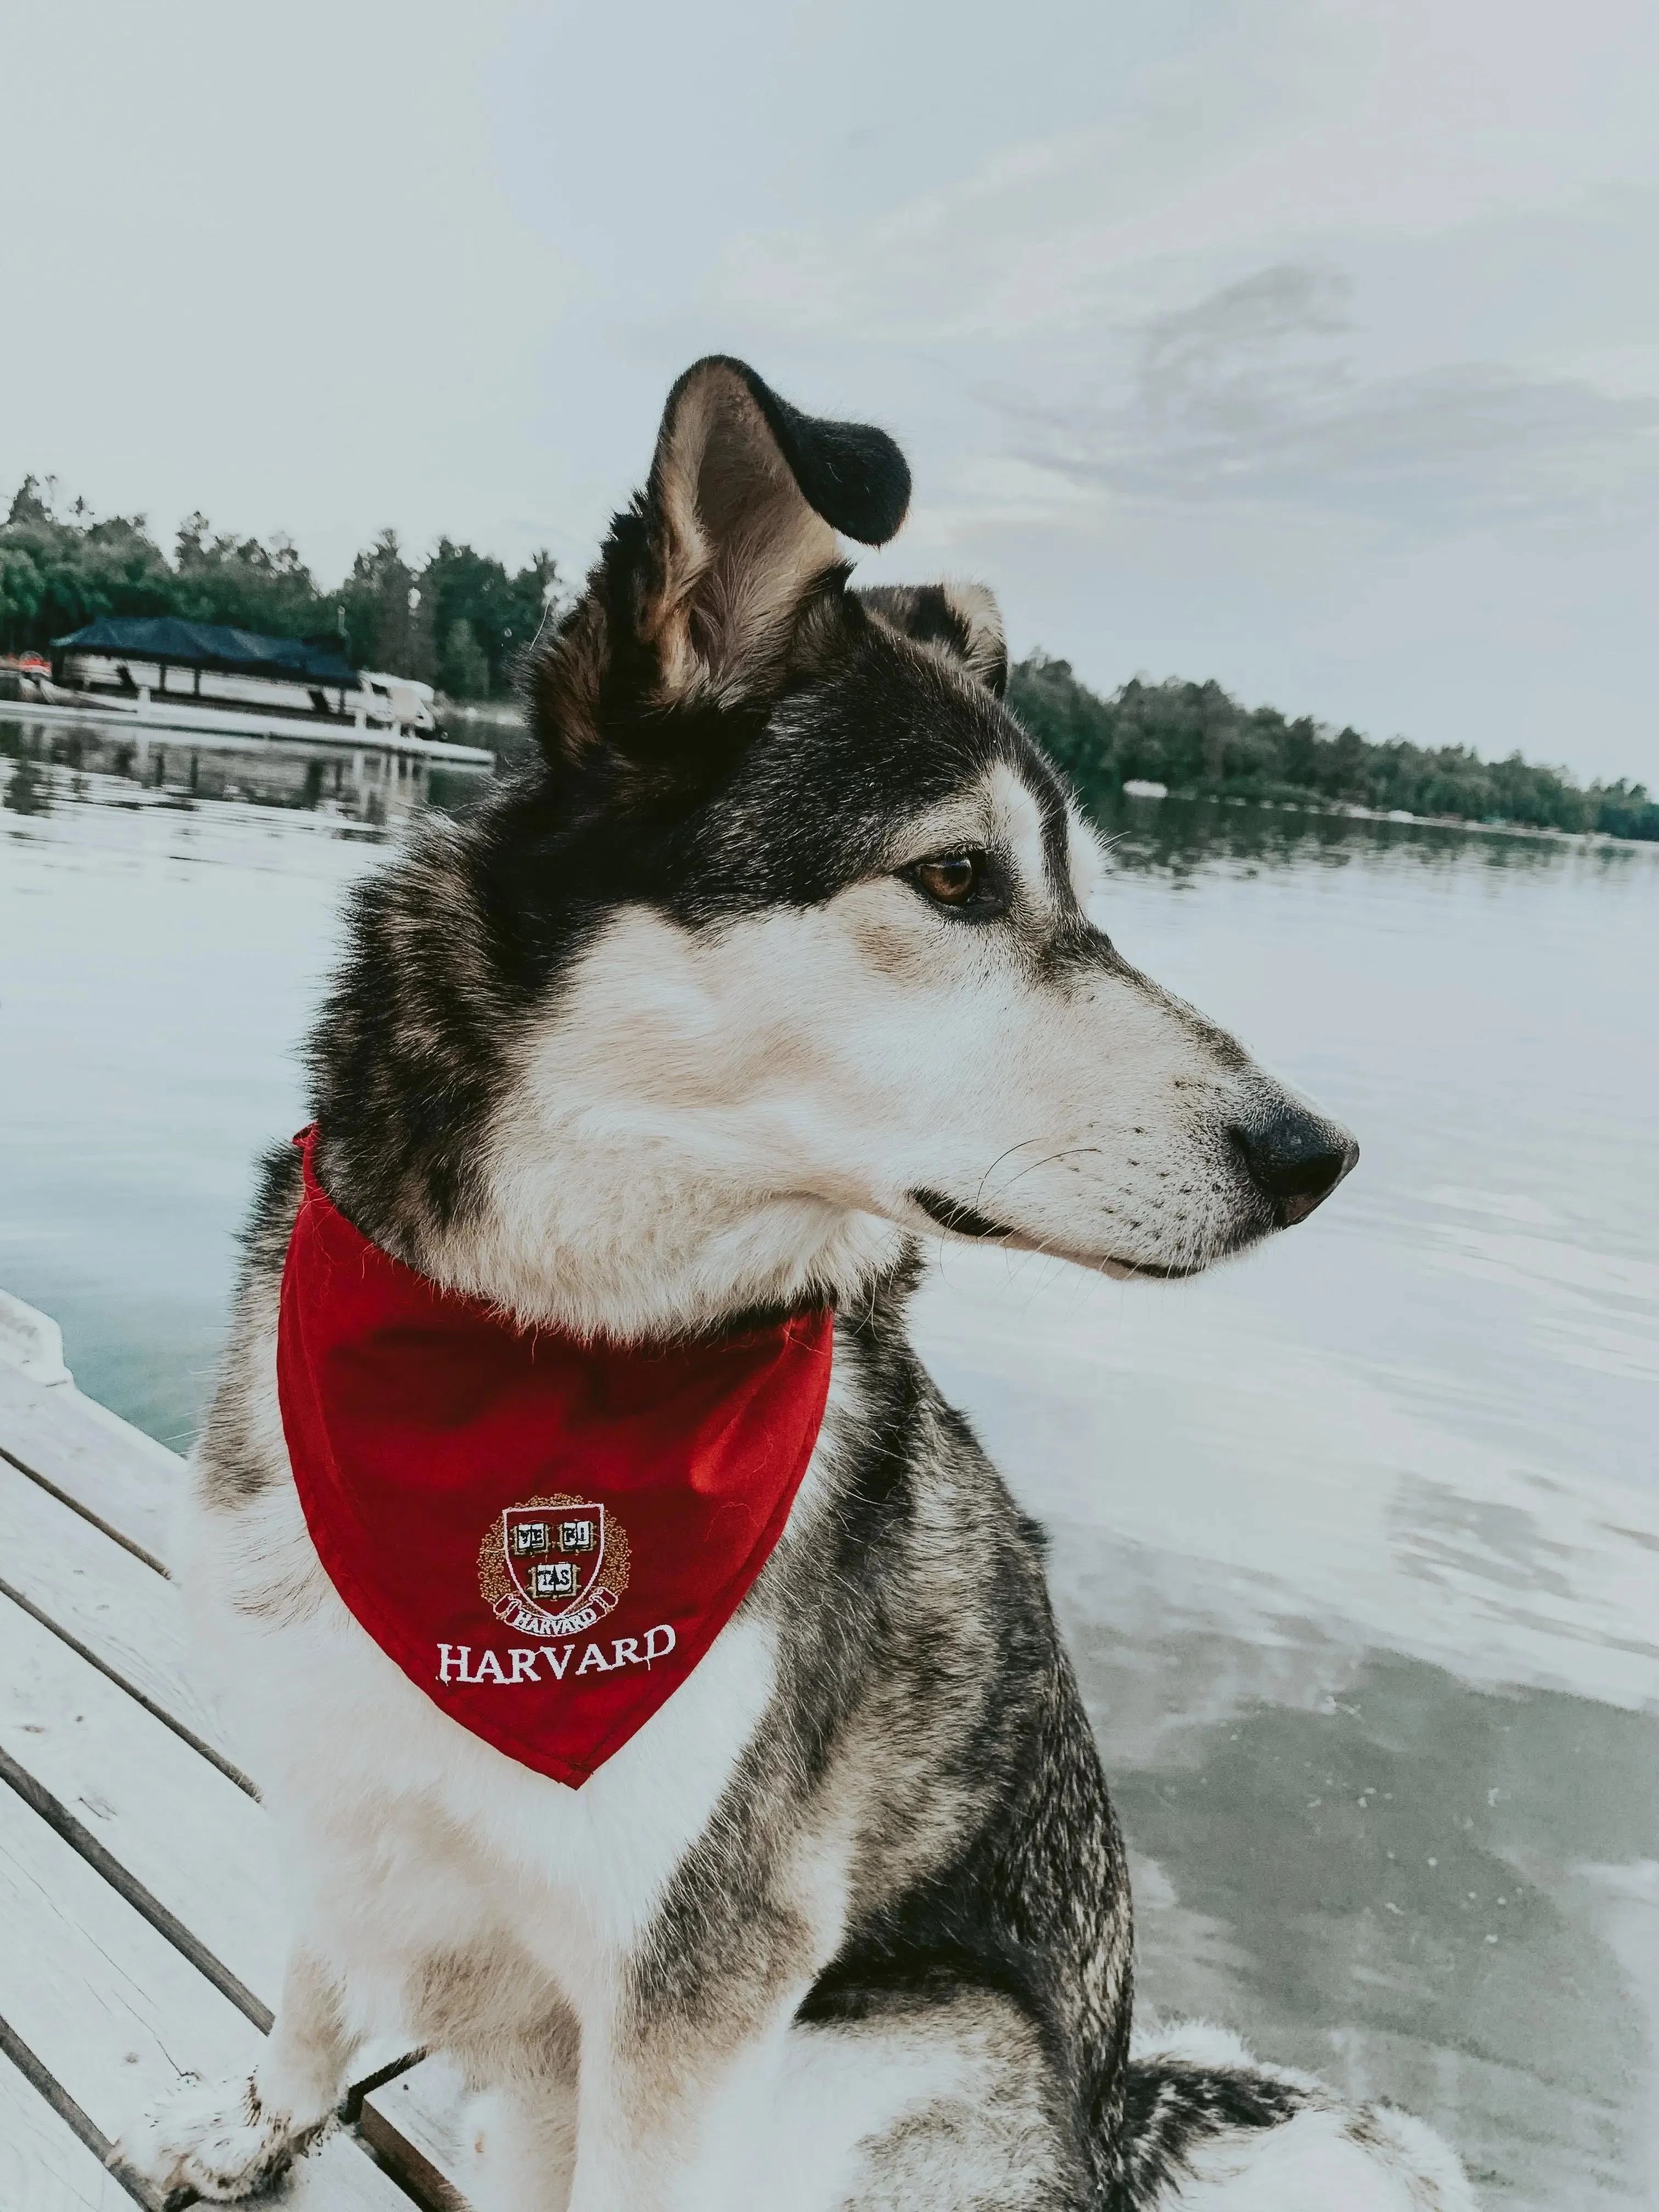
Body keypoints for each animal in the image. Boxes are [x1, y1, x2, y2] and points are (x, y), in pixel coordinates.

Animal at [123, 354, 1469, 2203]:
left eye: (1082, 901)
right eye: (958, 877)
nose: (1315, 1155)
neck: (543, 1343)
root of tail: (1114, 2123)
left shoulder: (696, 1979)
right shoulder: (332, 1771)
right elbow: (316, 1983)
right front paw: (262, 2121)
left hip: (890, 2046)